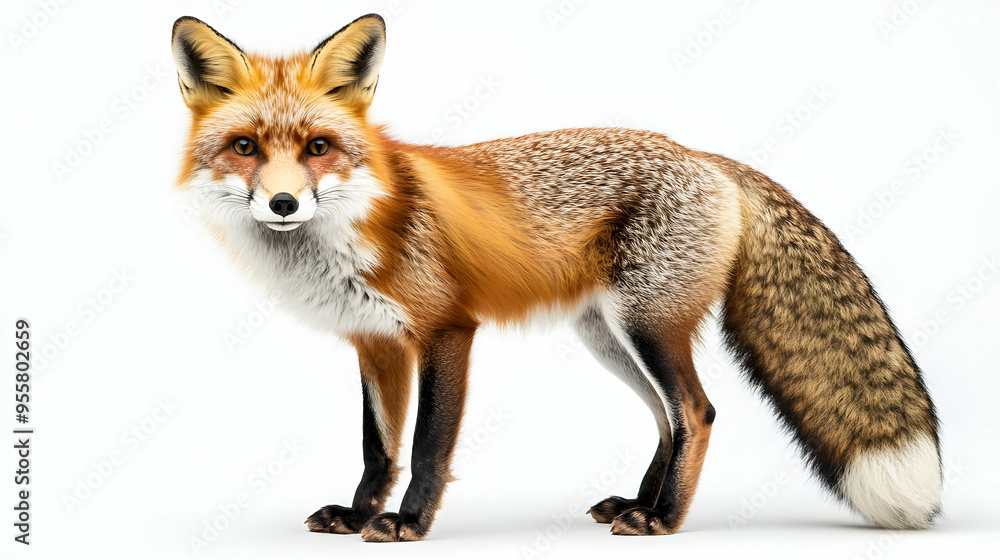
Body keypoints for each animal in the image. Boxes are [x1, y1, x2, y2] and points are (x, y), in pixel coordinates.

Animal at [171, 14, 942, 541]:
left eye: (318, 147)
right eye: (245, 147)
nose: (283, 204)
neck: (349, 230)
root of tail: (701, 154)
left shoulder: (447, 330)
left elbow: (426, 447)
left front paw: (408, 525)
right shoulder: (375, 343)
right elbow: (377, 449)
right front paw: (359, 514)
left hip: (647, 325)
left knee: (696, 412)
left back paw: (664, 520)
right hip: (607, 337)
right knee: (666, 417)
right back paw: (639, 503)